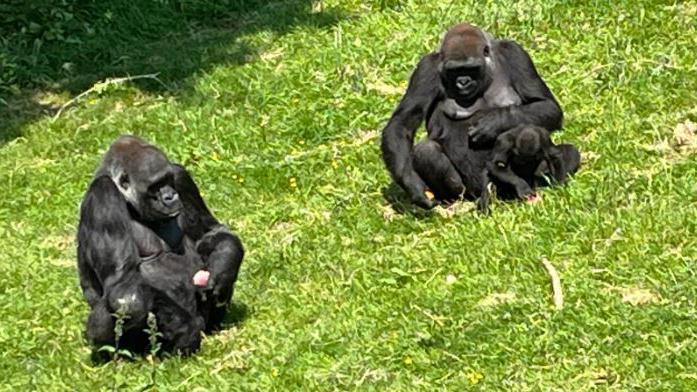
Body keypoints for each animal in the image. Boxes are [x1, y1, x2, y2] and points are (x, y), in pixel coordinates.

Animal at [76, 135, 243, 356]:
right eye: (155, 186)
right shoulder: (103, 194)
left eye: (168, 180)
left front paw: (222, 268)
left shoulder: (180, 175)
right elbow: (124, 289)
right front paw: (186, 332)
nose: (171, 196)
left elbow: (212, 232)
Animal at [380, 23, 572, 210]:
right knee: (427, 151)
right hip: (471, 190)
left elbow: (546, 105)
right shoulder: (425, 69)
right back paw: (453, 199)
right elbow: (403, 122)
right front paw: (413, 185)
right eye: (454, 71)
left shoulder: (515, 53)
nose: (463, 82)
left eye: (471, 69)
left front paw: (494, 122)